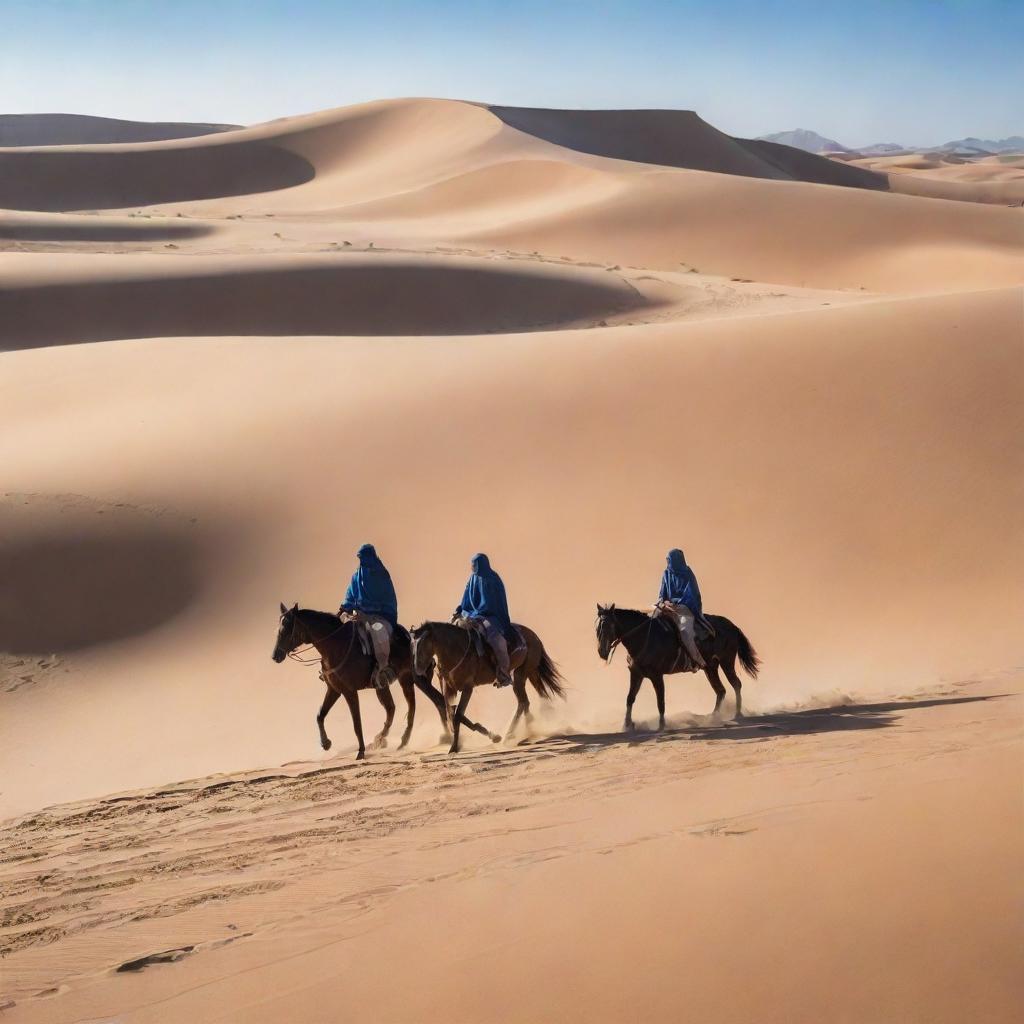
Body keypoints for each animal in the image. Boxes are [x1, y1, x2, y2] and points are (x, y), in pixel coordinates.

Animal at [272, 598, 495, 761]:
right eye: (278, 627)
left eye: (287, 628)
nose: (276, 655)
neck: (335, 645)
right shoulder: (334, 689)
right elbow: (320, 714)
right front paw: (326, 743)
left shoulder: (349, 691)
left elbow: (356, 723)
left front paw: (360, 752)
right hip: (403, 681)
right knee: (410, 706)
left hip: (415, 679)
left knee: (431, 703)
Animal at [409, 614, 569, 753]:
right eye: (412, 644)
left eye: (422, 644)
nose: (418, 670)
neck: (456, 650)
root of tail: (534, 636)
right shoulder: (447, 688)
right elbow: (451, 713)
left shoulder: (468, 687)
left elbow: (458, 715)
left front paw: (454, 747)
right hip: (529, 673)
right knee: (525, 701)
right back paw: (523, 733)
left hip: (521, 674)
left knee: (523, 701)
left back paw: (514, 735)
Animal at [593, 602, 761, 733]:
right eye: (597, 628)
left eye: (609, 626)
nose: (602, 651)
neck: (643, 637)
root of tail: (732, 626)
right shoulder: (636, 674)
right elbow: (630, 698)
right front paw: (627, 725)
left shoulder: (656, 675)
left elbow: (660, 701)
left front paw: (661, 726)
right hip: (710, 668)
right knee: (721, 690)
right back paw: (712, 718)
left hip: (727, 662)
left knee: (736, 684)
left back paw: (737, 714)